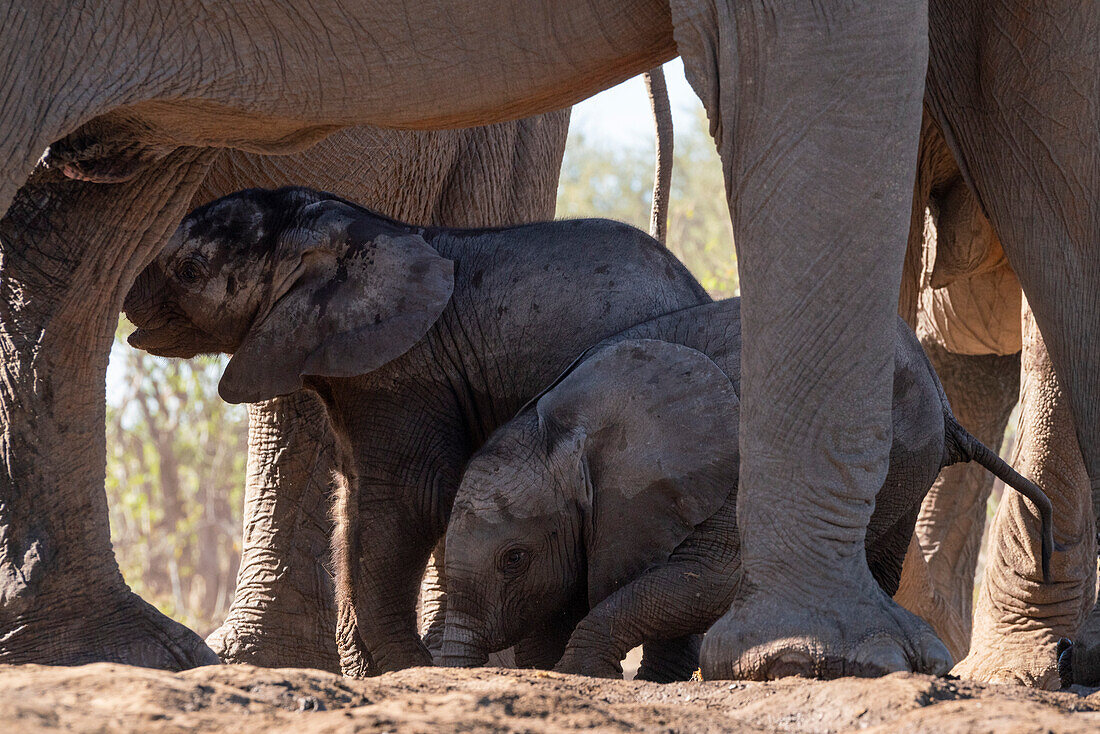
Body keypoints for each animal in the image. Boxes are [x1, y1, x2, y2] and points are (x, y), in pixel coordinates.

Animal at [440, 299, 1056, 682]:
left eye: (514, 559)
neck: (564, 425)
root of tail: (945, 406)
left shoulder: (727, 472)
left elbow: (709, 580)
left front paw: (581, 672)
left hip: (909, 458)